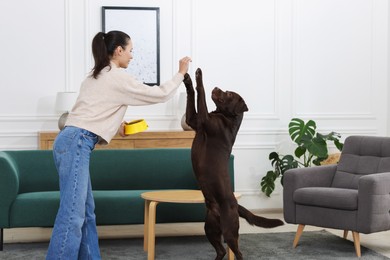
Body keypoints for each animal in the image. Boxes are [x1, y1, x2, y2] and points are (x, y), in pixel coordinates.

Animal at [183, 68, 284, 260]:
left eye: (229, 94)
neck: (224, 115)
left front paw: (199, 76)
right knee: (221, 250)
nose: (217, 87)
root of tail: (236, 205)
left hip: (229, 230)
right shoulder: (193, 120)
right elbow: (192, 96)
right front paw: (187, 80)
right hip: (210, 227)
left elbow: (201, 93)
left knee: (238, 252)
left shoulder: (205, 120)